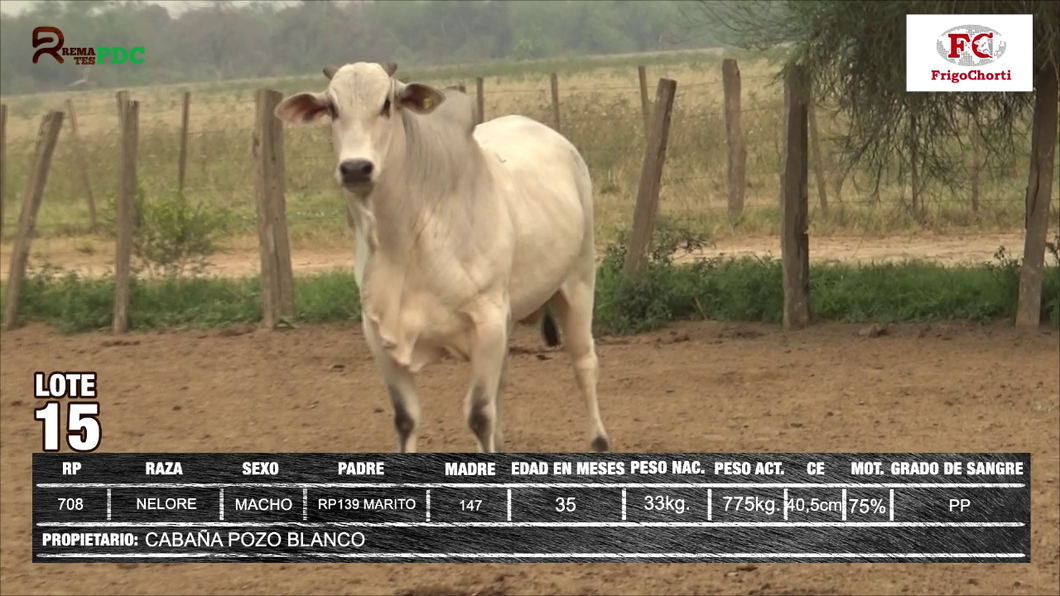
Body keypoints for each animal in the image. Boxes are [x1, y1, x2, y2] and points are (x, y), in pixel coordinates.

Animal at [273, 61, 614, 449]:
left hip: (579, 280)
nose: (356, 168)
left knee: (584, 362)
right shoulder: (379, 333)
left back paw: (599, 441)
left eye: (387, 103)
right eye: (331, 108)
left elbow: (479, 415)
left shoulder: (487, 320)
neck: (406, 242)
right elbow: (406, 418)